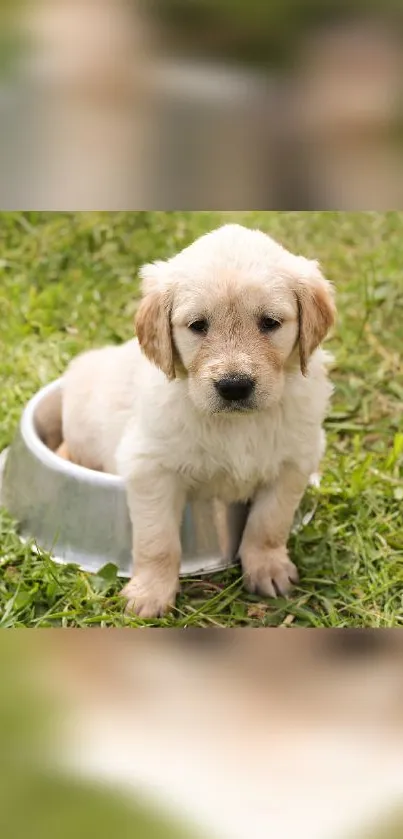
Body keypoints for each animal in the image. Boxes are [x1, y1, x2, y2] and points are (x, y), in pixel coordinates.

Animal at [61, 223, 336, 616]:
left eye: (270, 323)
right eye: (198, 325)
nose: (234, 386)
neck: (238, 424)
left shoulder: (294, 462)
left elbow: (269, 522)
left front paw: (267, 567)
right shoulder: (150, 467)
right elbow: (158, 541)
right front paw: (150, 593)